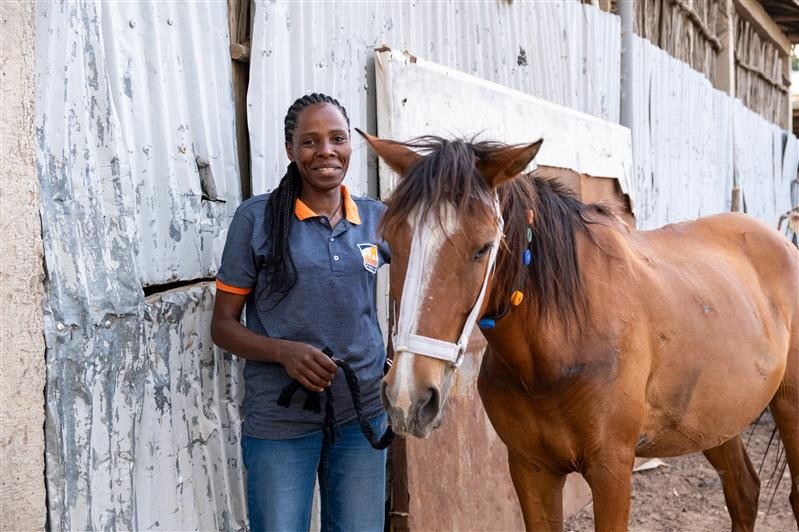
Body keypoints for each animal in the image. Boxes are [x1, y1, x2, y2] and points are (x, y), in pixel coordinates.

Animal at [357, 129, 799, 532]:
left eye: (482, 247)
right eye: (389, 246)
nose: (408, 396)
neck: (560, 345)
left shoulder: (612, 470)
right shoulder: (531, 469)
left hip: (787, 407)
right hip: (717, 418)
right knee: (743, 492)